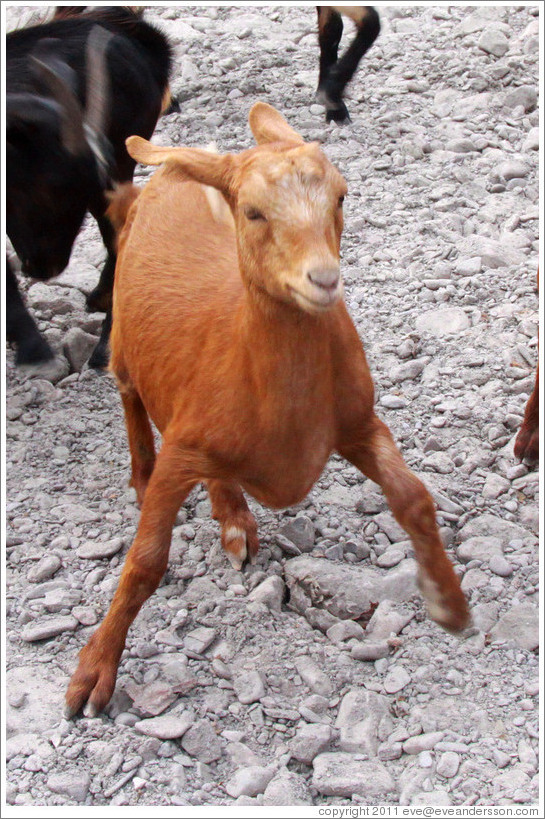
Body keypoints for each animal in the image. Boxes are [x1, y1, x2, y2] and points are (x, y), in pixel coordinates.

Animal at [65, 101, 468, 716]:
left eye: (342, 196)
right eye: (253, 212)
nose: (323, 280)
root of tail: (179, 168)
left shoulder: (358, 422)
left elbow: (414, 497)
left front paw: (448, 602)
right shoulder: (182, 449)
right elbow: (145, 563)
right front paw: (93, 675)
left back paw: (233, 515)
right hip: (127, 346)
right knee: (130, 396)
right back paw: (145, 476)